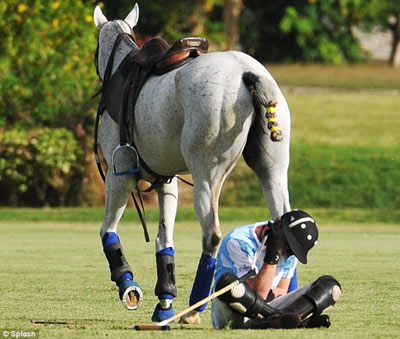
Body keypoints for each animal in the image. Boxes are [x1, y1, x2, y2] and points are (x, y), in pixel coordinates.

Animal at [94, 3, 292, 324]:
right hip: (272, 169)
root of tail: (249, 73)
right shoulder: (166, 180)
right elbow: (164, 241)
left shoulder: (119, 173)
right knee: (284, 225)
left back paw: (195, 307)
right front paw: (164, 302)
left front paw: (128, 285)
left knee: (212, 235)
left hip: (206, 174)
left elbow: (107, 232)